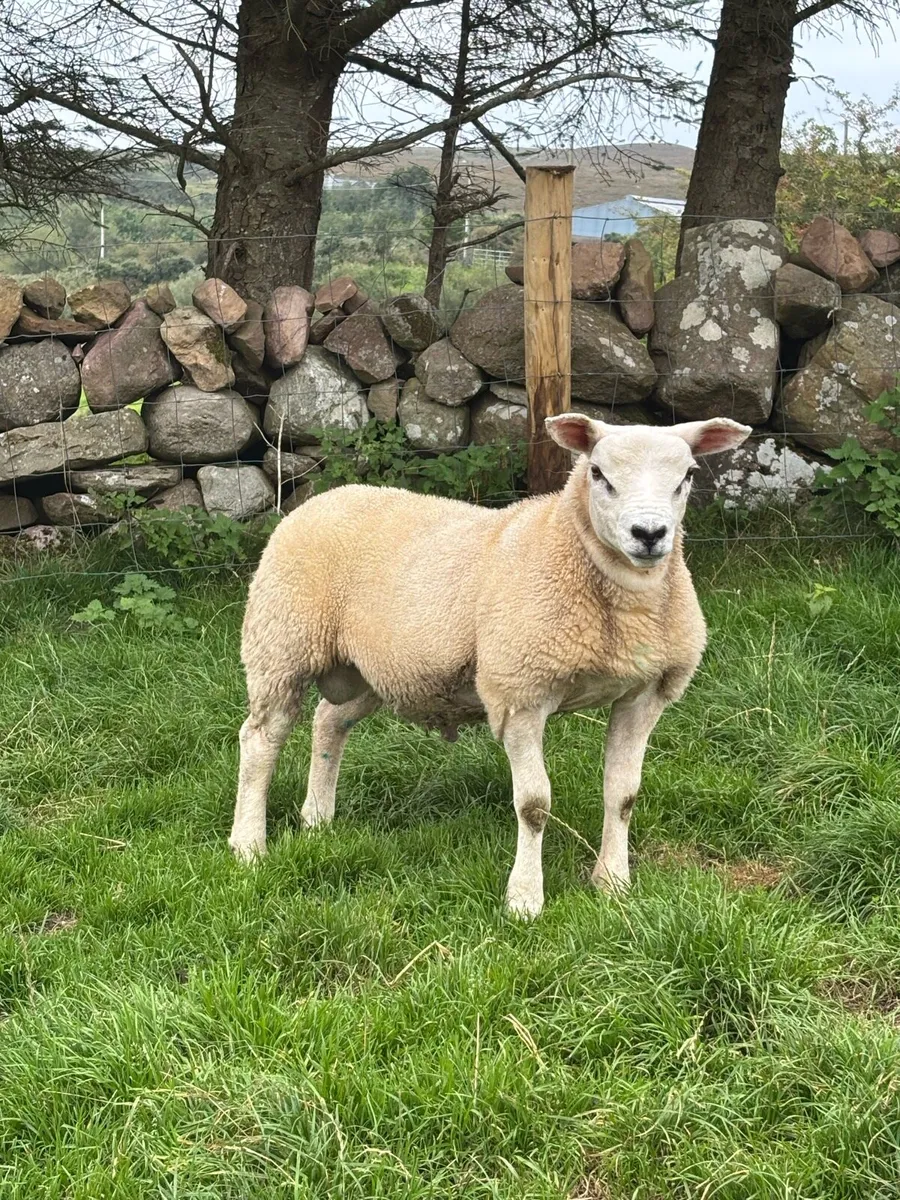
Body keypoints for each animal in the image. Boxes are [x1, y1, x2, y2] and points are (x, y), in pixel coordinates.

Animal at [230, 414, 751, 916]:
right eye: (599, 474)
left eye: (687, 476)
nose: (649, 535)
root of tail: (325, 497)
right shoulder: (519, 692)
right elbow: (534, 805)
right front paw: (524, 900)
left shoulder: (644, 694)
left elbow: (622, 795)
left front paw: (613, 883)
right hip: (281, 641)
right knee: (261, 738)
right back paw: (249, 844)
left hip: (374, 670)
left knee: (328, 722)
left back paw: (317, 817)